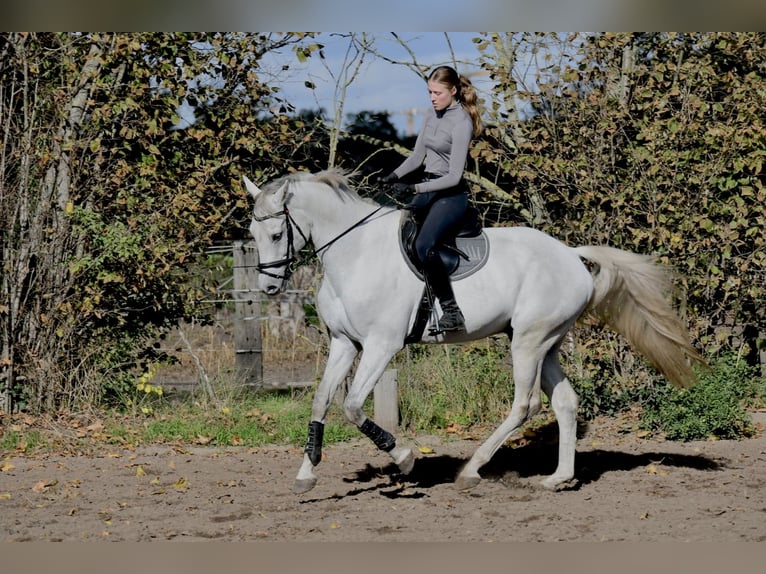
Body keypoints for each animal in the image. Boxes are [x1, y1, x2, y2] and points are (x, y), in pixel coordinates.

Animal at [243, 168, 704, 496]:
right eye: (252, 233)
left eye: (277, 233)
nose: (269, 288)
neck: (354, 255)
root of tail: (571, 254)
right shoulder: (344, 344)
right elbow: (321, 401)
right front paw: (306, 474)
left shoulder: (380, 345)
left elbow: (353, 406)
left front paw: (405, 458)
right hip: (545, 343)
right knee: (566, 402)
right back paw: (558, 478)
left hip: (529, 342)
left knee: (525, 405)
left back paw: (471, 469)